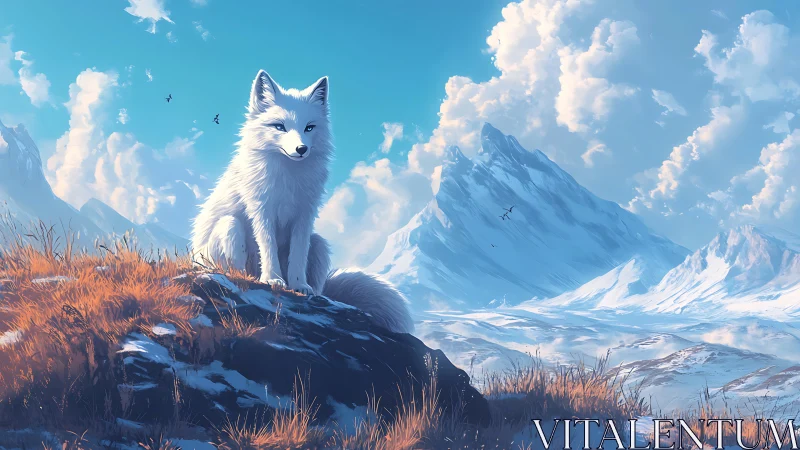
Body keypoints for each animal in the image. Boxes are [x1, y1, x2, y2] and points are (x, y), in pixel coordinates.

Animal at [190, 70, 413, 334]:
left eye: (309, 127)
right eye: (279, 126)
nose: (301, 148)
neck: (289, 179)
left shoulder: (305, 214)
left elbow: (297, 254)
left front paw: (297, 285)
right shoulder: (262, 210)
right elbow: (268, 246)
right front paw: (273, 279)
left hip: (319, 244)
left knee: (317, 275)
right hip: (230, 226)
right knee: (235, 266)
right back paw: (247, 279)